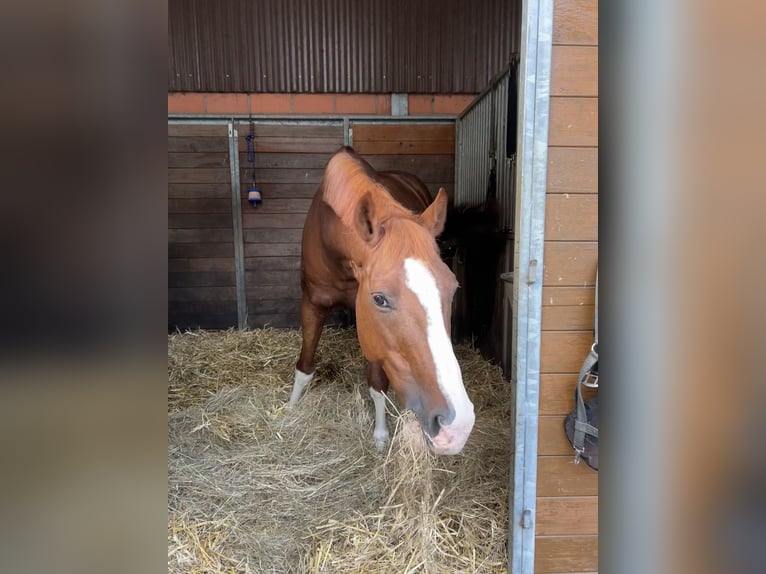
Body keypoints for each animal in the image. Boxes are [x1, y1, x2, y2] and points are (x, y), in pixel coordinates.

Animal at [288, 146, 476, 456]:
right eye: (380, 299)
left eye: (453, 288)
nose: (457, 428)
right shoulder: (312, 304)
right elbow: (304, 367)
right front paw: (290, 408)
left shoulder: (372, 331)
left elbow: (377, 385)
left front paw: (380, 434)